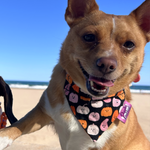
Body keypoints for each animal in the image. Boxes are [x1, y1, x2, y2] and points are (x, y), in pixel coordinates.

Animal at [0, 0, 150, 149]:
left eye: (129, 44)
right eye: (89, 36)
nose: (106, 65)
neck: (86, 100)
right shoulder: (41, 112)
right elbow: (20, 124)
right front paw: (3, 137)